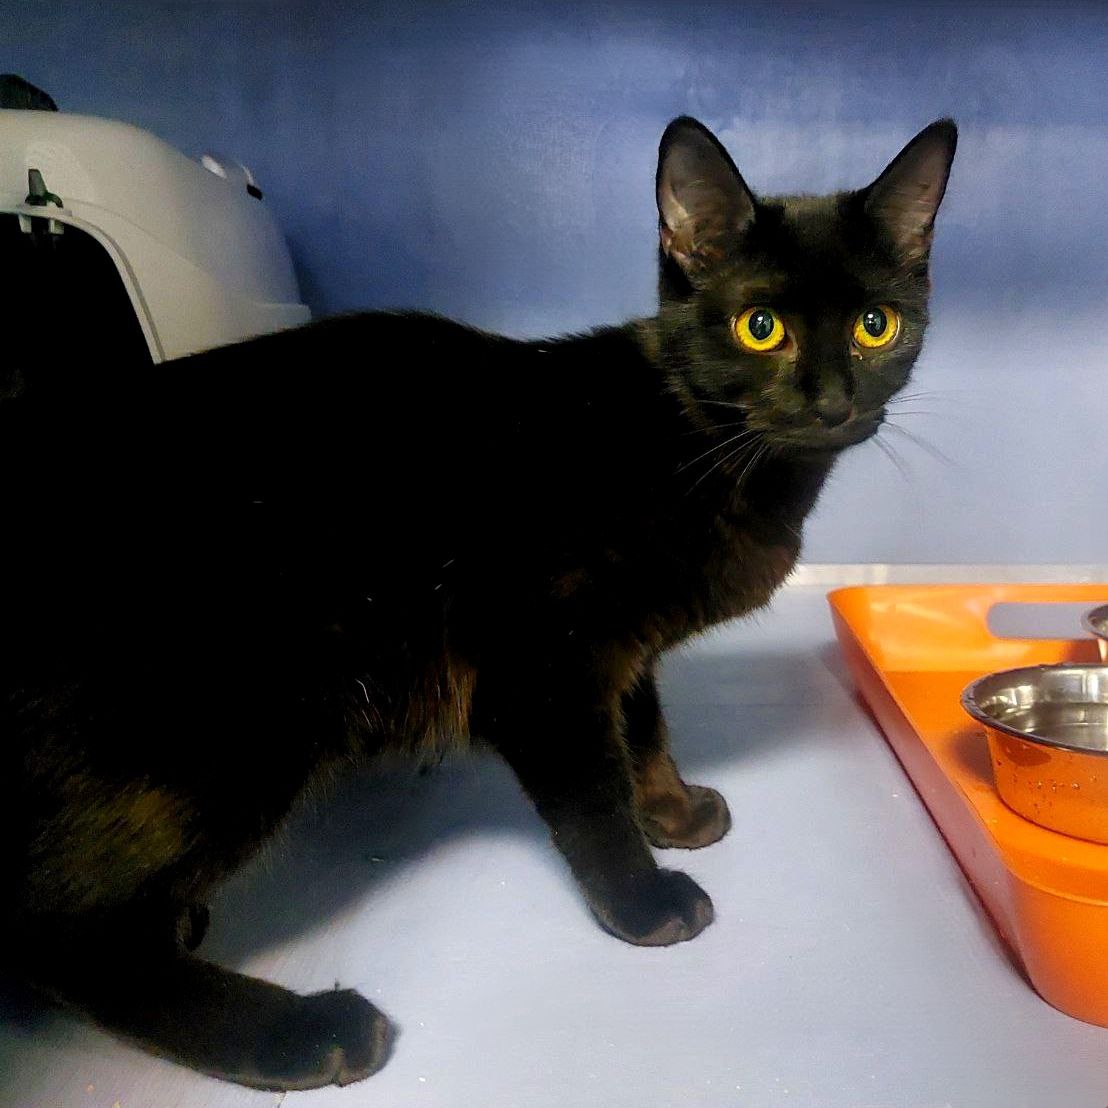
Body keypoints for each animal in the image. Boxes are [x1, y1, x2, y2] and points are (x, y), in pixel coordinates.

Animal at [0, 113, 956, 1091]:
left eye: (876, 325)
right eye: (760, 328)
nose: (834, 403)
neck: (700, 445)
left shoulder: (618, 648)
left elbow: (644, 728)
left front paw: (673, 809)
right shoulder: (540, 668)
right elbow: (593, 798)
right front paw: (642, 899)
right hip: (239, 723)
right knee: (57, 936)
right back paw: (307, 1033)